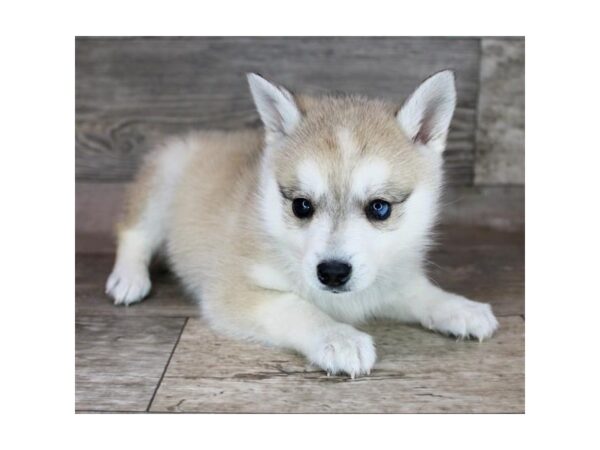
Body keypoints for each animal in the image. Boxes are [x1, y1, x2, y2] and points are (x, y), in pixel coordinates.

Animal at [105, 71, 500, 376]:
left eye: (380, 208)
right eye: (301, 206)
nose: (333, 273)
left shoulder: (386, 282)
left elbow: (420, 292)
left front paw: (459, 307)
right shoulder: (234, 291)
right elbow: (296, 307)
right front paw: (338, 338)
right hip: (165, 179)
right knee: (134, 232)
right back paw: (129, 278)